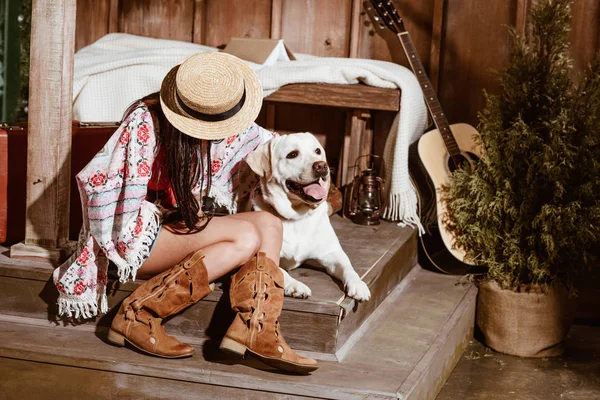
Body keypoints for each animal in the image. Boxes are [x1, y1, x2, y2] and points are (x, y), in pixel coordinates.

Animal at [245, 133, 370, 302]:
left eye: (317, 151)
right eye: (292, 154)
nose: (322, 166)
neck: (297, 217)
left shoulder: (332, 253)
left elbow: (348, 267)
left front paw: (358, 284)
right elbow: (280, 271)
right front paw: (295, 285)